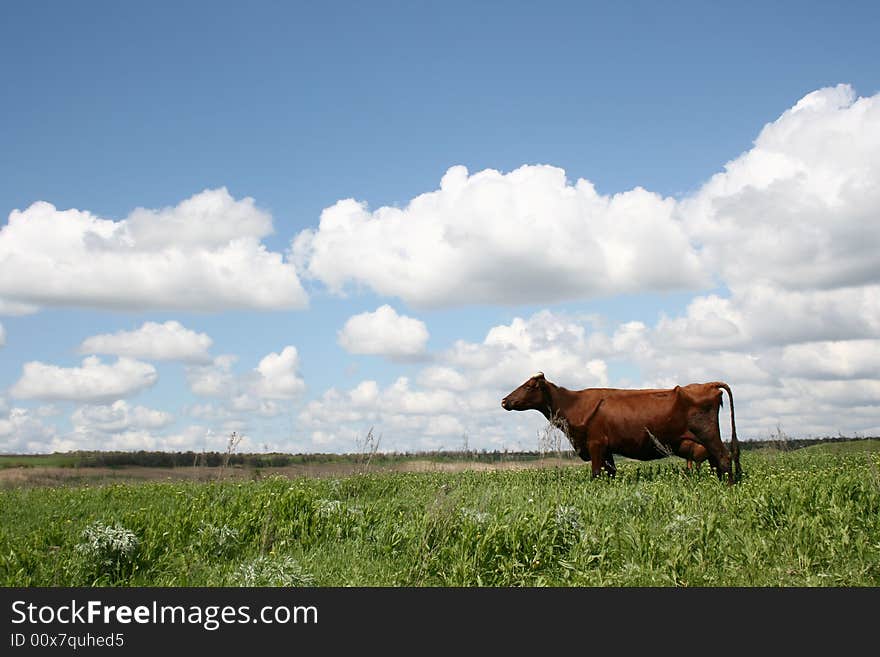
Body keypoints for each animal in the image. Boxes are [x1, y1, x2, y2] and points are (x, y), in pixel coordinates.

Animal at [502, 372, 744, 484]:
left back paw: (728, 487)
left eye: (529, 386)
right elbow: (610, 473)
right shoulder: (607, 449)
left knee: (724, 458)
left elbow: (596, 474)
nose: (505, 400)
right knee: (717, 463)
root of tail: (709, 384)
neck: (574, 403)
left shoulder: (596, 444)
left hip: (709, 435)